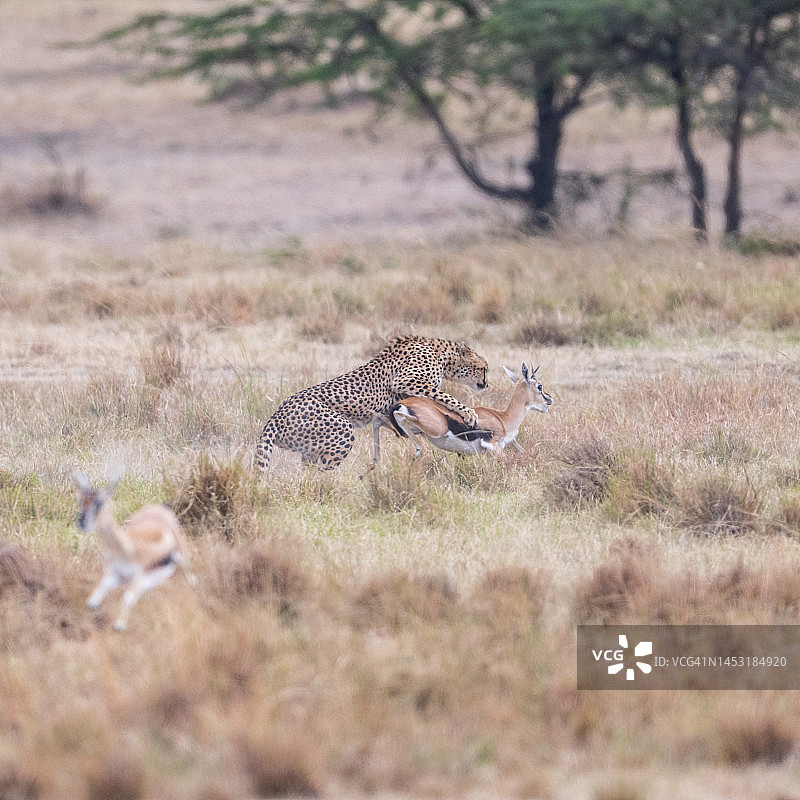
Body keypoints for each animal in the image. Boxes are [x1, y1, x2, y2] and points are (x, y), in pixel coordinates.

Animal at [260, 334, 490, 472]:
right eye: (483, 368)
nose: (486, 384)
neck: (441, 355)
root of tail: (276, 415)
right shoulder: (406, 381)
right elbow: (445, 397)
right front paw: (468, 414)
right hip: (341, 430)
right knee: (320, 473)